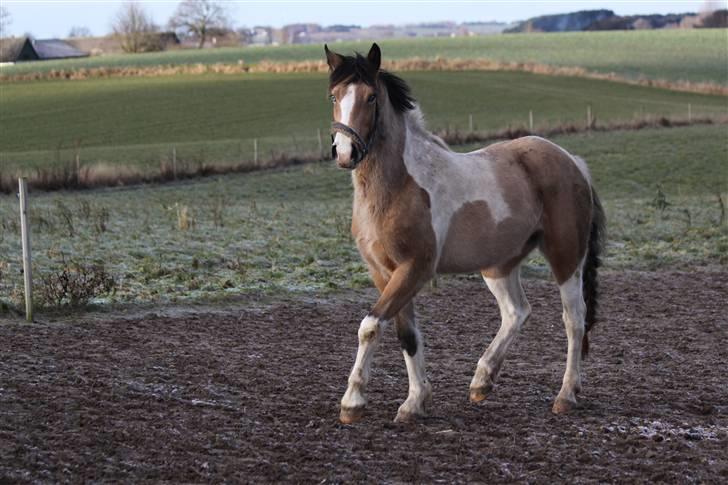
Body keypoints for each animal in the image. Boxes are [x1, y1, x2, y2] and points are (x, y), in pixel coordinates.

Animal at [328, 45, 604, 424]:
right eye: (334, 95)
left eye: (371, 97)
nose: (345, 152)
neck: (399, 187)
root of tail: (572, 161)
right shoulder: (384, 273)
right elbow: (407, 335)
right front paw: (415, 403)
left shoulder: (414, 269)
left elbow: (370, 326)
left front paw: (353, 401)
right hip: (498, 265)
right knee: (517, 312)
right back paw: (482, 381)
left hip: (566, 257)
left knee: (573, 320)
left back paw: (566, 395)